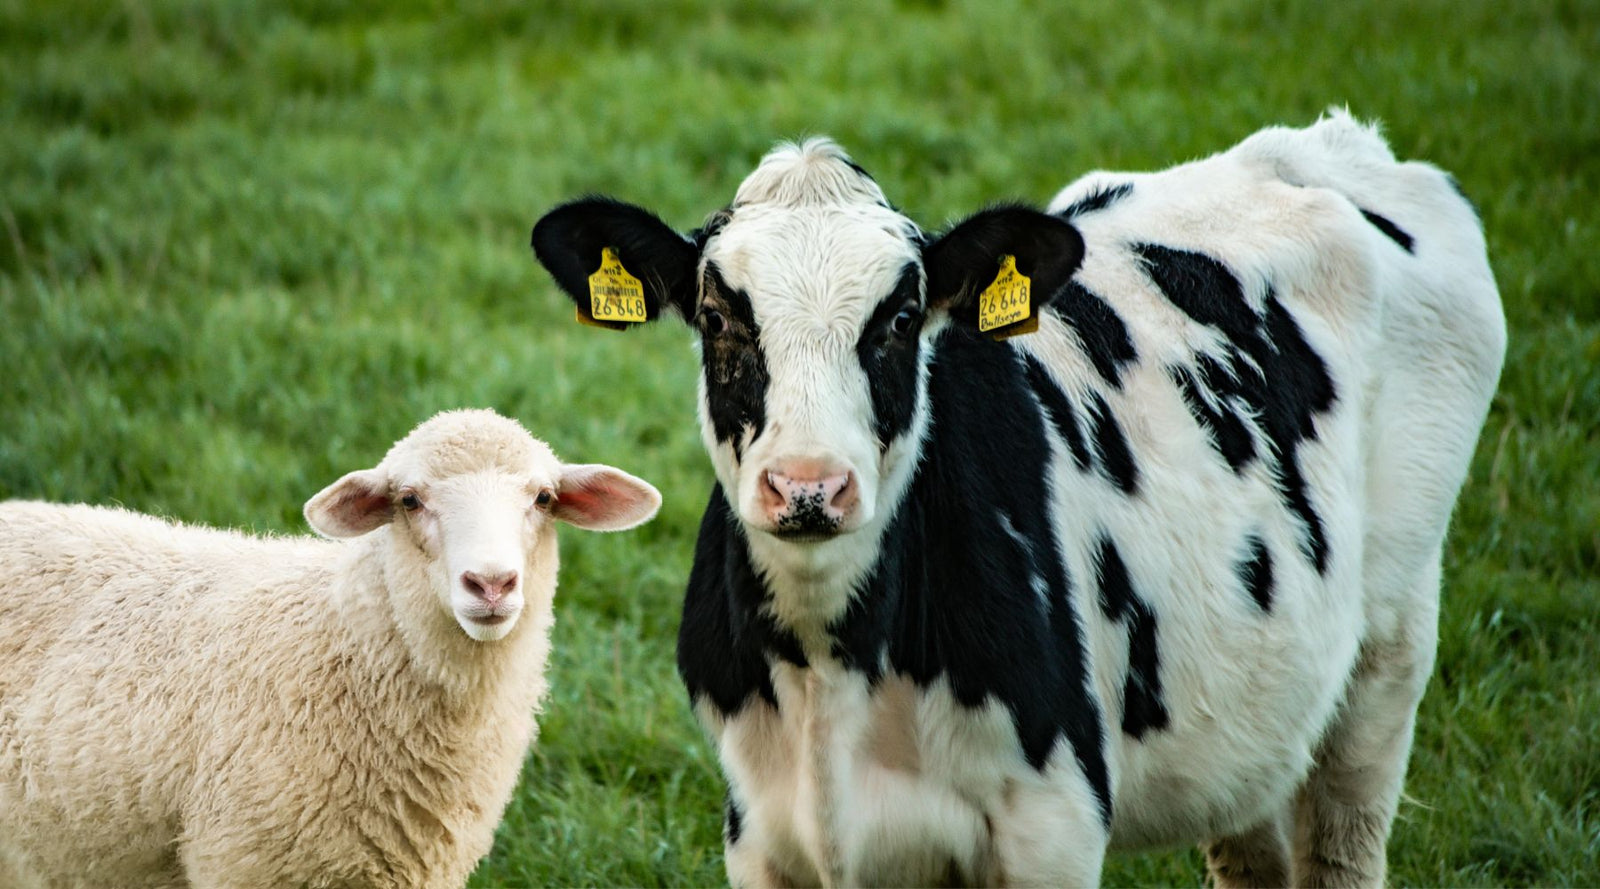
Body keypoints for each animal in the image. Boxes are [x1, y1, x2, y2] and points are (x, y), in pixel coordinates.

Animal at [529, 111, 1506, 887]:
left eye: (899, 318)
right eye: (718, 317)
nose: (809, 485)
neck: (830, 668)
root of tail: (1325, 145)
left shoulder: (1055, 826)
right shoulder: (762, 833)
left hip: (1387, 649)